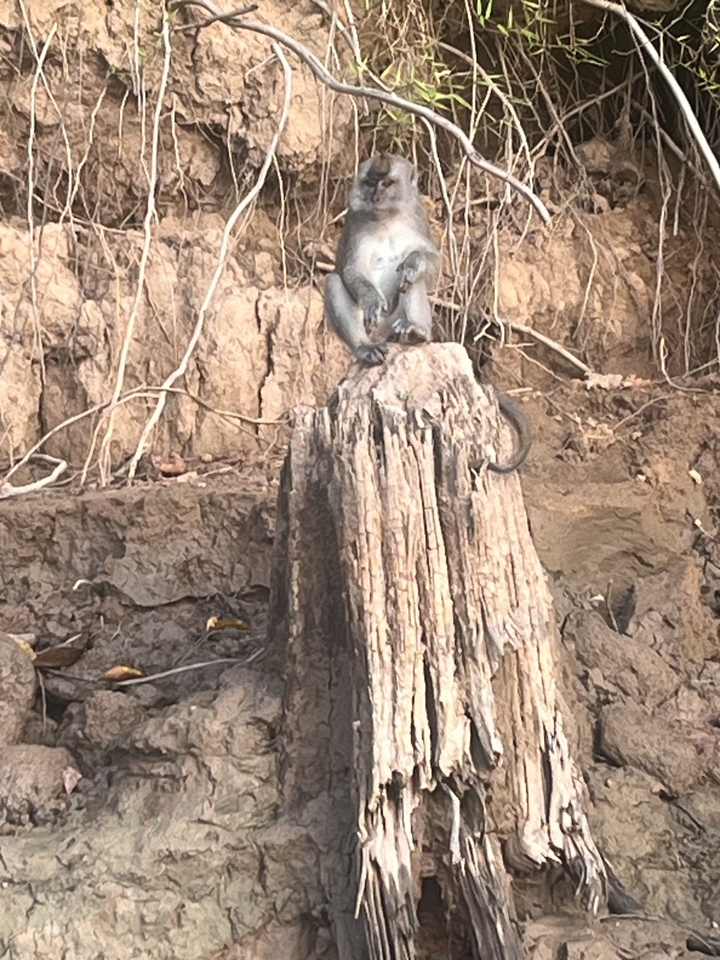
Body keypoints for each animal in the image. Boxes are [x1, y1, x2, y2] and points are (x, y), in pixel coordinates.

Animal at [325, 153, 440, 366]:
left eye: (387, 183)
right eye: (370, 183)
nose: (376, 198)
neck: (387, 219)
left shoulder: (418, 216)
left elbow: (432, 262)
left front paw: (413, 262)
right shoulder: (355, 221)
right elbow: (352, 270)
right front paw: (372, 299)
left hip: (394, 322)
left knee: (411, 280)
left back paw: (416, 330)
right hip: (373, 329)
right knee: (332, 281)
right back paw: (365, 348)